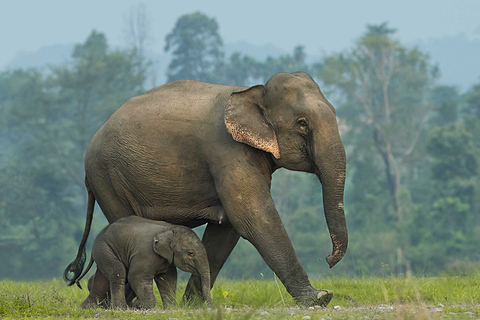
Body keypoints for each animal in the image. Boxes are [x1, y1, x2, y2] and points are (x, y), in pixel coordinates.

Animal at [76, 216, 212, 308]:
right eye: (191, 253)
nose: (211, 306)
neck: (169, 228)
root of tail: (99, 236)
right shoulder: (145, 255)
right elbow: (135, 276)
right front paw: (142, 306)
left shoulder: (167, 261)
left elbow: (168, 280)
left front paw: (170, 308)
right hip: (105, 248)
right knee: (118, 271)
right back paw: (122, 308)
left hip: (104, 252)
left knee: (102, 281)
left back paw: (85, 308)